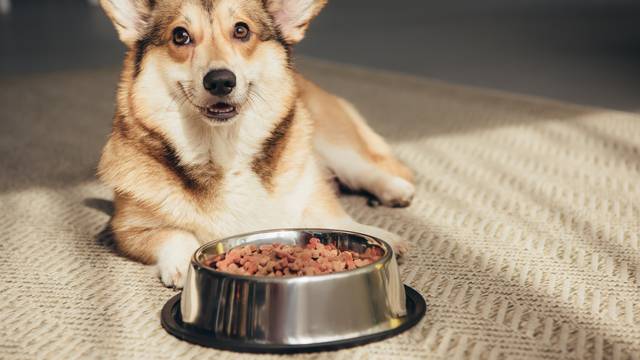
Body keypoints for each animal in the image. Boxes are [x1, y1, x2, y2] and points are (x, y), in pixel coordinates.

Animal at [95, 0, 416, 286]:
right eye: (180, 36)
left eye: (241, 30)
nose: (220, 81)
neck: (223, 149)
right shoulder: (127, 228)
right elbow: (174, 233)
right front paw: (184, 262)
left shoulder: (310, 193)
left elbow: (334, 217)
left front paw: (375, 234)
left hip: (334, 145)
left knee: (368, 169)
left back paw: (395, 191)